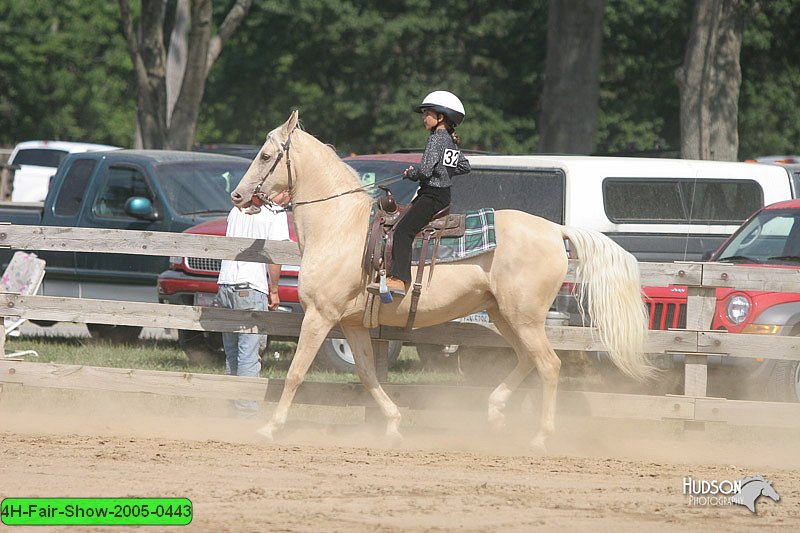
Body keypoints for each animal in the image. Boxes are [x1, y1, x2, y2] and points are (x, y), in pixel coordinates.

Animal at [230, 111, 648, 448]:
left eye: (265, 155)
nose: (237, 195)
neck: (340, 227)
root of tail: (555, 229)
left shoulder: (320, 315)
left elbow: (296, 373)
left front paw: (270, 428)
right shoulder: (351, 323)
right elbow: (367, 373)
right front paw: (393, 424)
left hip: (525, 318)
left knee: (549, 365)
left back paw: (540, 436)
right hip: (504, 315)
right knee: (527, 359)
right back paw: (495, 412)